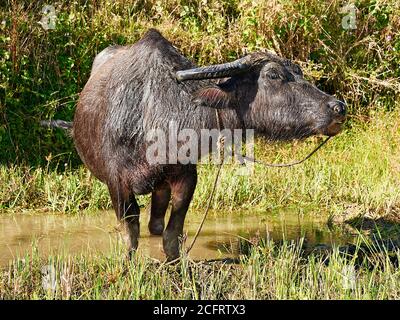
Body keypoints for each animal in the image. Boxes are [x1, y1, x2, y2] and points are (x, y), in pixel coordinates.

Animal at [53, 28, 346, 262]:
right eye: (273, 75)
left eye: (299, 72)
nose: (338, 107)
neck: (155, 116)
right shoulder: (117, 182)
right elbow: (130, 231)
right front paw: (128, 260)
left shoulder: (185, 176)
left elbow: (172, 231)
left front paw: (174, 261)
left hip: (161, 185)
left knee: (156, 222)